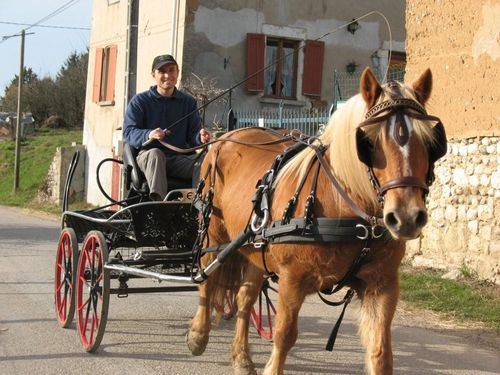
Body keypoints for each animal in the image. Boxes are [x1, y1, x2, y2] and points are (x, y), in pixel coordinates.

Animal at [186, 68, 448, 375]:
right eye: (368, 142)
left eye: (431, 143)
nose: (406, 217)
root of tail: (226, 136)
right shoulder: (292, 279)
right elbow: (284, 335)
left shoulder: (382, 284)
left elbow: (381, 352)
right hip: (214, 234)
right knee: (207, 279)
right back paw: (198, 335)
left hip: (254, 248)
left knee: (244, 298)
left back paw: (241, 358)